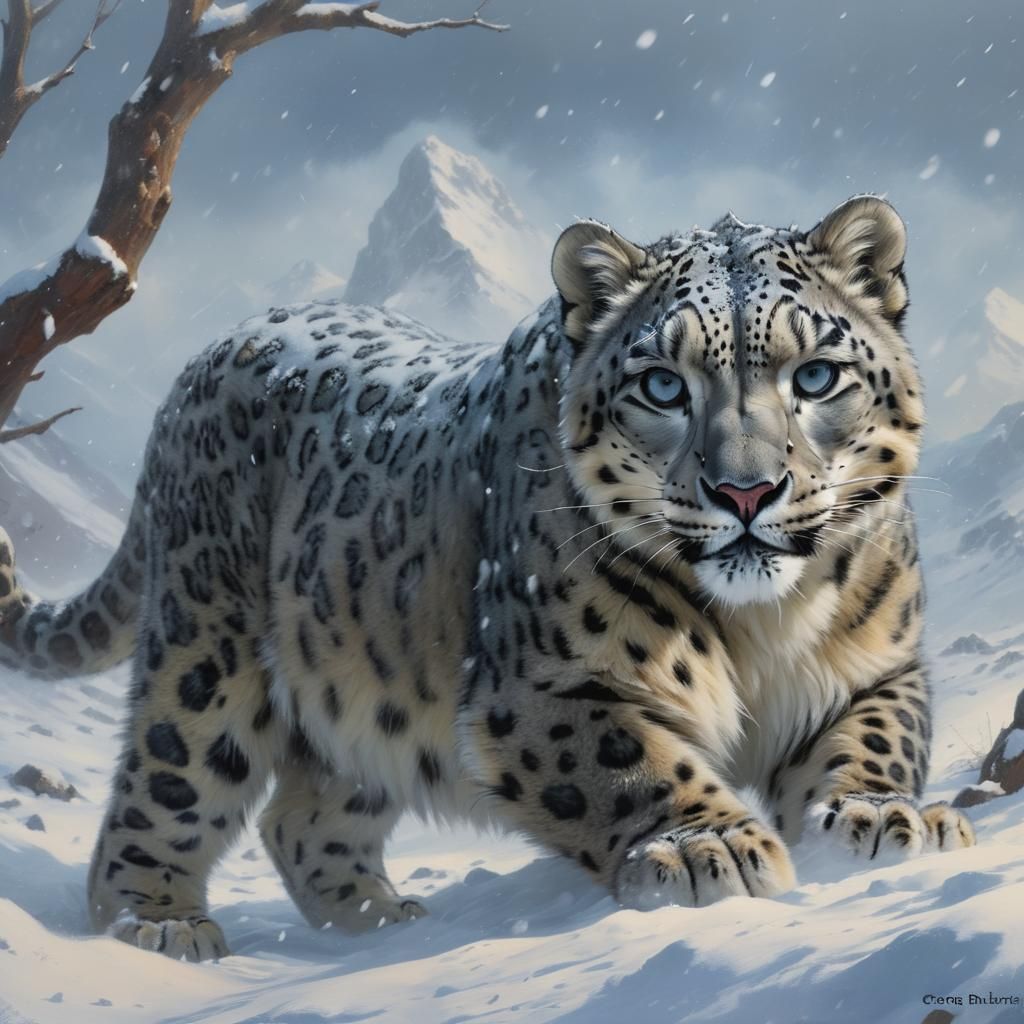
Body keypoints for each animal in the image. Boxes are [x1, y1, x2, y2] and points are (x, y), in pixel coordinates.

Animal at [0, 195, 974, 961]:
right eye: (663, 386)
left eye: (816, 375)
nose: (745, 490)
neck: (763, 627)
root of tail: (212, 354)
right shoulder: (543, 689)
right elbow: (632, 761)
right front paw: (708, 848)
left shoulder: (879, 665)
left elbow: (874, 739)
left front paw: (883, 820)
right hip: (206, 653)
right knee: (162, 792)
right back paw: (160, 926)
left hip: (367, 688)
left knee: (303, 817)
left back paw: (382, 922)